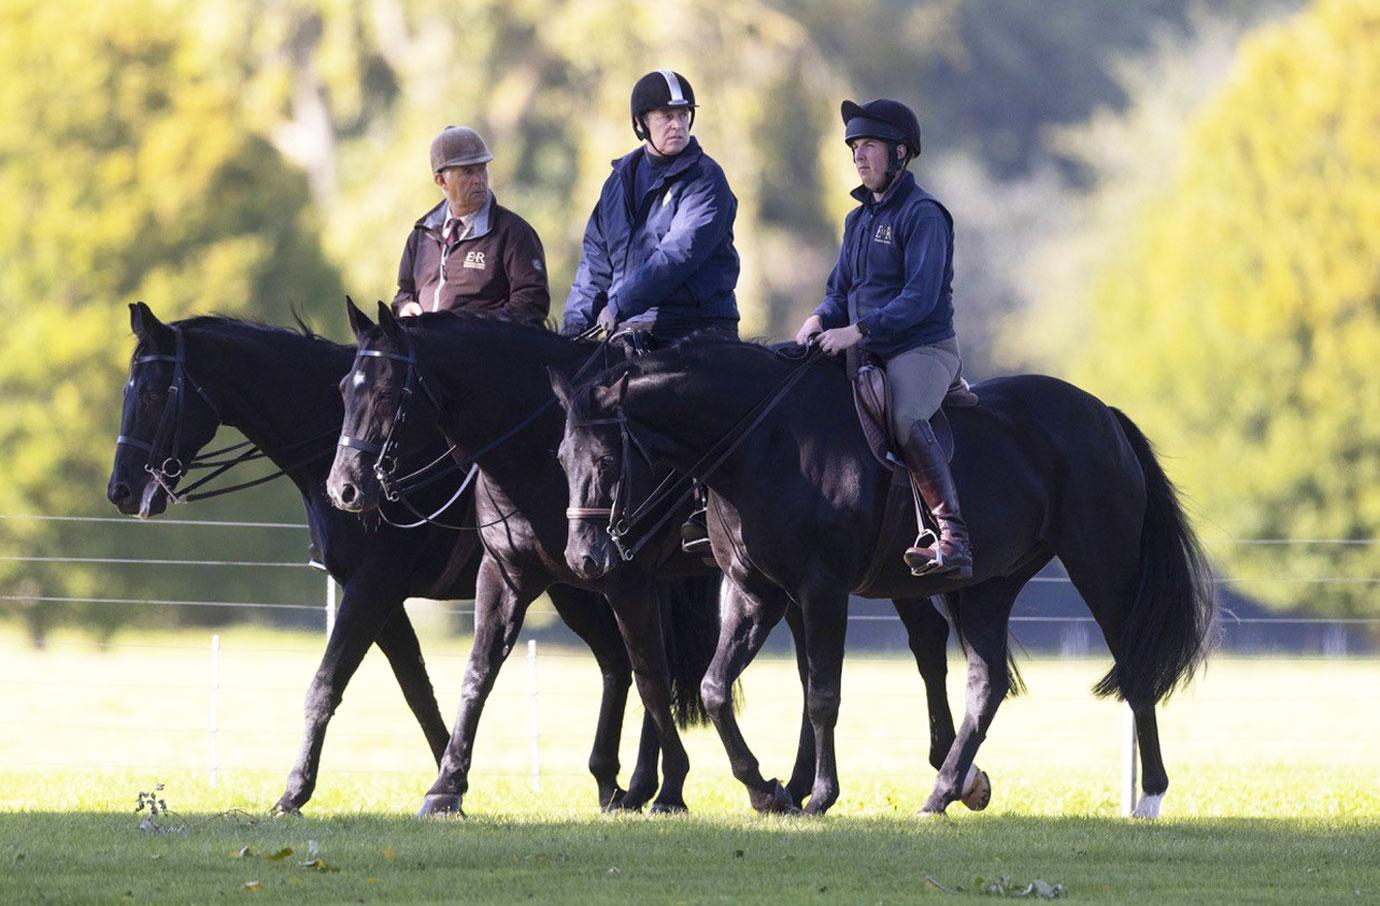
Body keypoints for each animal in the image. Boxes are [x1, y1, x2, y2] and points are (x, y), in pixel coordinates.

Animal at [103, 302, 667, 810]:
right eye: (129, 390)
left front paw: (294, 793)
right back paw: (614, 785)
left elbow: (325, 685)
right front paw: (450, 783)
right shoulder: (384, 598)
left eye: (151, 392)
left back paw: (646, 785)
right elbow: (418, 690)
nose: (121, 491)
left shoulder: (374, 587)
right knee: (620, 662)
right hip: (571, 588)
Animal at [328, 303, 988, 810]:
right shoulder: (514, 575)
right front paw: (447, 787)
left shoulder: (626, 579)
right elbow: (480, 673)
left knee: (922, 642)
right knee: (818, 666)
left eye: (385, 393)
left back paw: (945, 772)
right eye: (342, 389)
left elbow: (649, 674)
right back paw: (812, 782)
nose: (345, 488)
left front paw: (663, 786)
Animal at [549, 335, 1219, 816]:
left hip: (1102, 567)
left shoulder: (820, 590)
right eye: (560, 458)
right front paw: (764, 789)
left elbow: (821, 694)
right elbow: (716, 688)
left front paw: (816, 796)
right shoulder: (752, 591)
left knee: (1133, 667)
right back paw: (944, 793)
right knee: (986, 684)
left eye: (606, 460)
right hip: (985, 587)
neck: (764, 441)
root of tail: (1101, 413)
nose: (584, 560)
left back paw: (1150, 796)